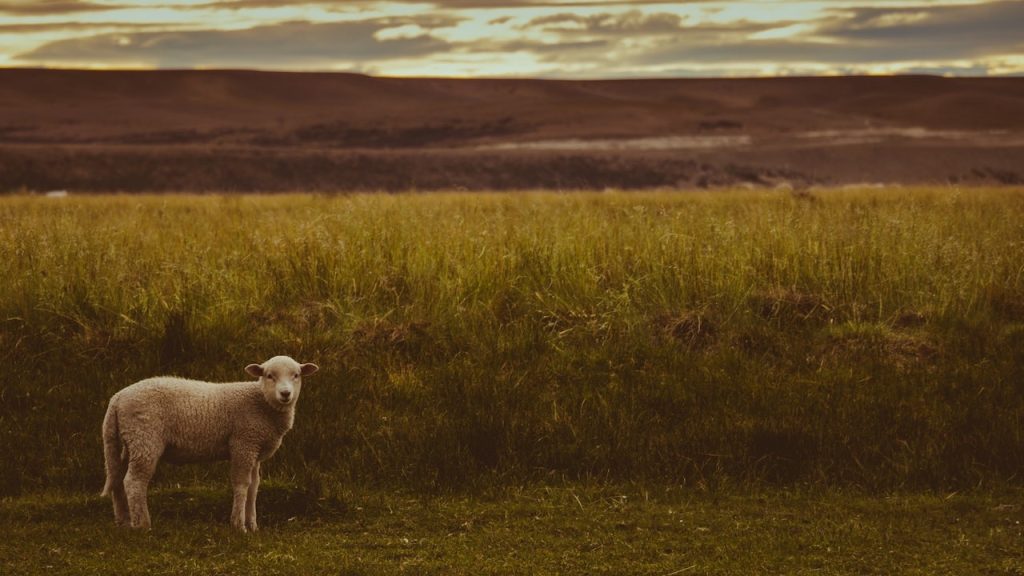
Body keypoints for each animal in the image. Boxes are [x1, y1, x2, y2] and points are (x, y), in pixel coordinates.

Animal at [100, 354, 317, 528]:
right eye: (269, 375)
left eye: (296, 375)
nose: (285, 394)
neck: (261, 402)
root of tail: (117, 398)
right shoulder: (243, 443)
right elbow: (241, 484)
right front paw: (239, 525)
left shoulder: (254, 450)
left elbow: (254, 486)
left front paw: (253, 525)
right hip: (145, 438)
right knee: (134, 481)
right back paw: (142, 525)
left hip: (129, 442)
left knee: (118, 478)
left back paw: (124, 521)